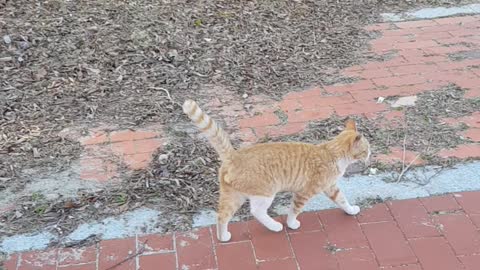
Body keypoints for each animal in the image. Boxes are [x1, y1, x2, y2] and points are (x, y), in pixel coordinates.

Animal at [183, 99, 372, 243]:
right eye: (366, 149)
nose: (371, 154)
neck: (332, 152)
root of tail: (234, 156)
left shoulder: (331, 187)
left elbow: (342, 200)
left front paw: (351, 210)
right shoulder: (304, 192)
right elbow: (294, 210)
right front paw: (292, 224)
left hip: (234, 196)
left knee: (222, 216)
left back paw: (223, 237)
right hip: (265, 193)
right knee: (256, 212)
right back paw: (275, 226)